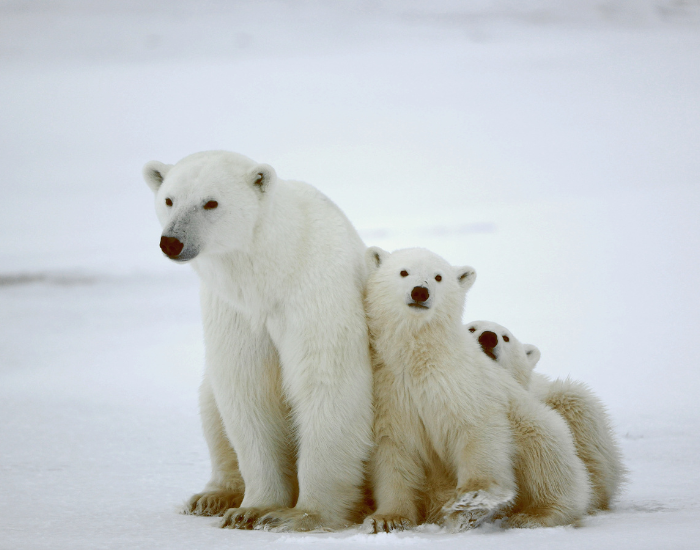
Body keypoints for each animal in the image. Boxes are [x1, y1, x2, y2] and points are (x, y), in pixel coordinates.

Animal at [143, 151, 373, 531]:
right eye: (169, 200)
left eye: (211, 202)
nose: (172, 242)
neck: (271, 270)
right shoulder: (234, 310)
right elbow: (247, 389)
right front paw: (251, 510)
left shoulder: (316, 292)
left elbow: (327, 383)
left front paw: (299, 515)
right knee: (211, 406)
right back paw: (212, 497)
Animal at [361, 247, 591, 533]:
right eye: (403, 272)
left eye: (438, 277)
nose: (420, 292)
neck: (419, 357)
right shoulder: (391, 391)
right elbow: (394, 451)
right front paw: (387, 519)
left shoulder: (463, 382)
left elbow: (478, 431)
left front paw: (471, 503)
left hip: (536, 424)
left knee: (546, 458)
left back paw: (535, 515)